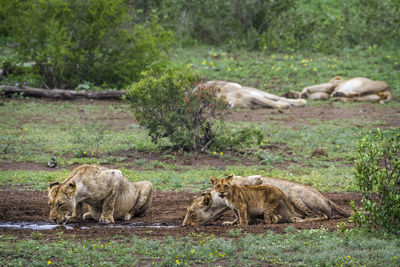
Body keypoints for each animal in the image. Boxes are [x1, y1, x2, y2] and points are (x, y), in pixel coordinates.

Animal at [181, 175, 350, 227]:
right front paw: (231, 222)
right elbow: (237, 214)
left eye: (191, 212)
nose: (183, 225)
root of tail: (328, 199)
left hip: (295, 190)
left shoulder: (253, 180)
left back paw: (297, 219)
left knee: (321, 216)